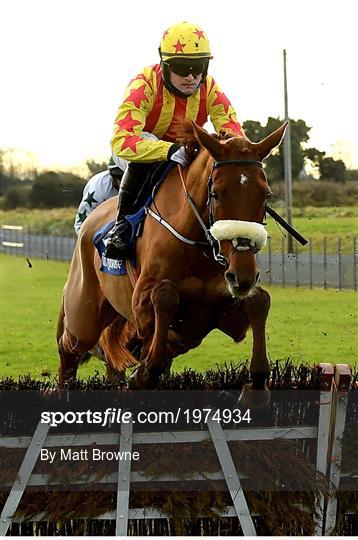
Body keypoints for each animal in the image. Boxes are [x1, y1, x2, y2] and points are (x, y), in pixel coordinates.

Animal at [58, 122, 288, 408]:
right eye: (216, 194)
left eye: (266, 195)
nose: (243, 274)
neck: (196, 242)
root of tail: (91, 220)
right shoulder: (141, 304)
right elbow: (165, 295)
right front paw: (143, 374)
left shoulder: (215, 309)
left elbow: (259, 301)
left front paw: (256, 383)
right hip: (84, 315)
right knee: (68, 348)